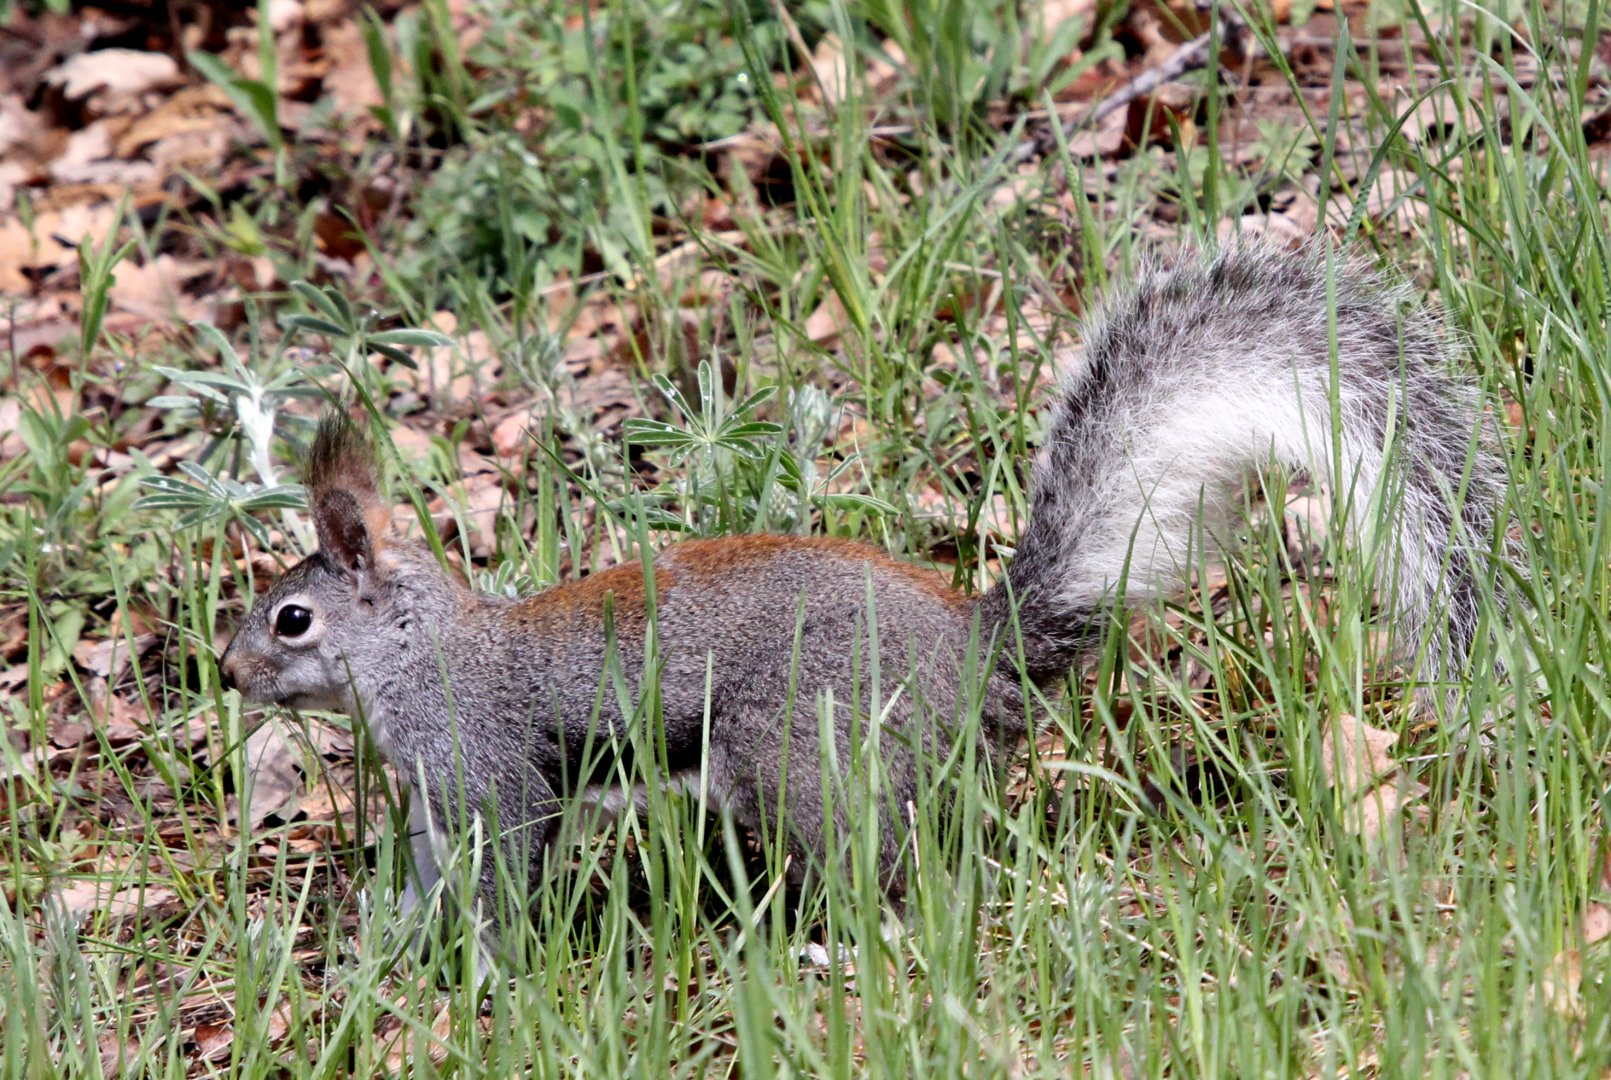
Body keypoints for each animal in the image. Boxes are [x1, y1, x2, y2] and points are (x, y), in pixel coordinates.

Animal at [218, 241, 1509, 951]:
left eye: (292, 618)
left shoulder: (484, 766)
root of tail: (970, 654)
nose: (226, 672)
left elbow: (507, 874)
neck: (417, 649)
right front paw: (397, 946)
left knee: (889, 875)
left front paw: (478, 967)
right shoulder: (433, 800)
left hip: (799, 752)